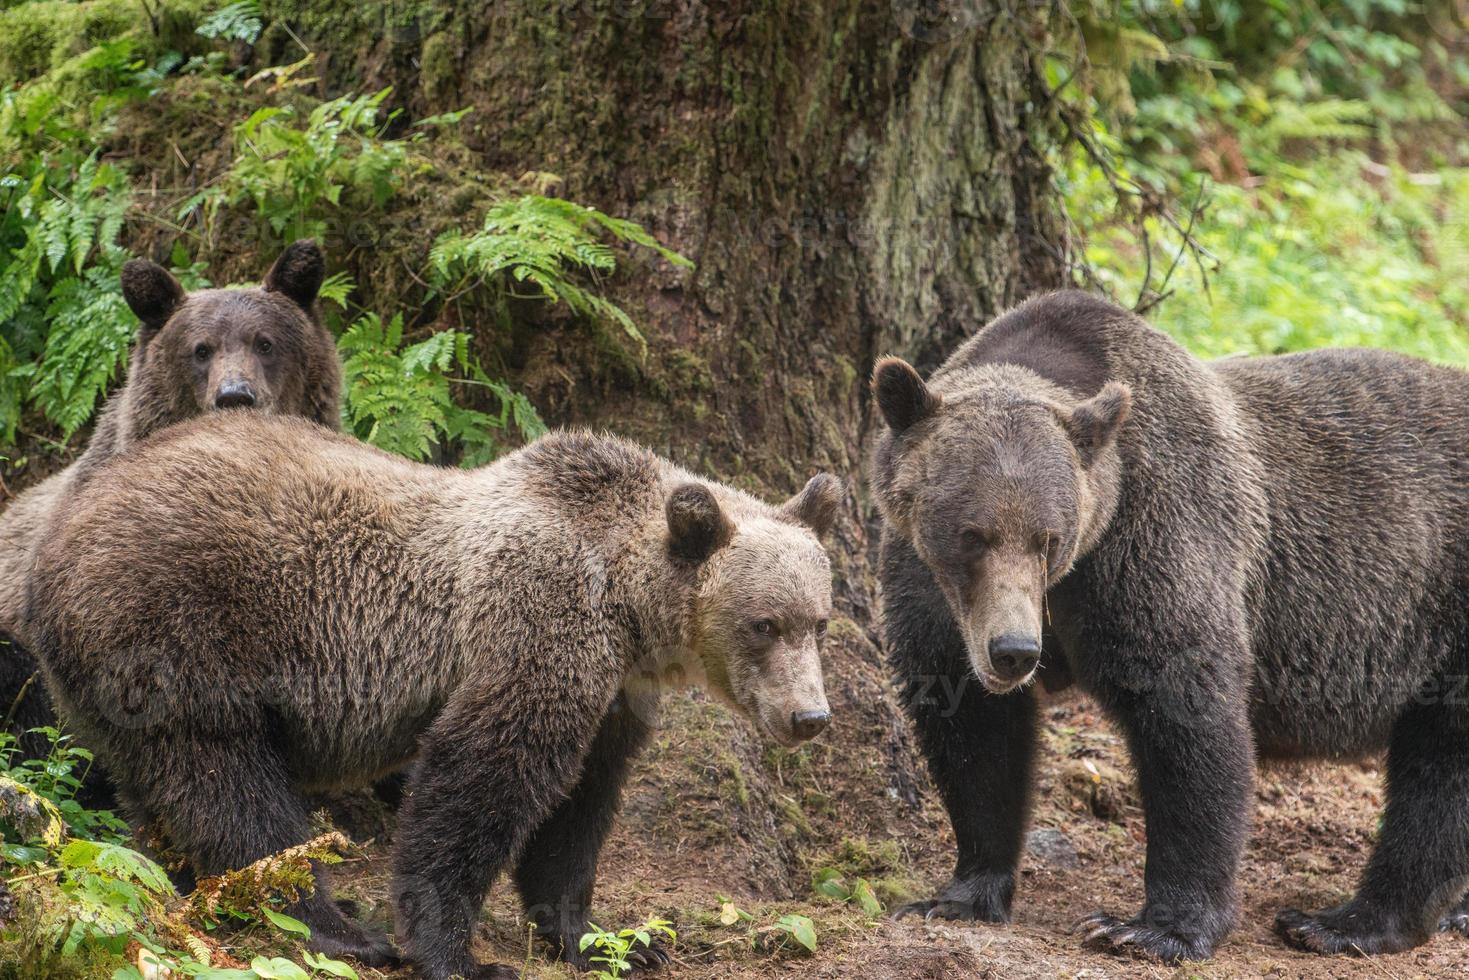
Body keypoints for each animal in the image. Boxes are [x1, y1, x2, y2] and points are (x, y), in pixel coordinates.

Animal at [25, 417, 840, 980]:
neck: (628, 606)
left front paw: (612, 939)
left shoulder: (614, 693)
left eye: (819, 620)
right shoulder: (536, 623)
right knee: (230, 788)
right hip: (180, 630)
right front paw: (459, 952)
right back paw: (336, 925)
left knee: (161, 792)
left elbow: (580, 809)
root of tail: (55, 542)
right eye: (763, 623)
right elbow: (481, 778)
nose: (809, 717)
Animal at [863, 290, 1469, 963]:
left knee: (1439, 770)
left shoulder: (1156, 537)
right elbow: (973, 730)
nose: (1014, 651)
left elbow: (1186, 717)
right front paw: (960, 894)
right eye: (973, 535)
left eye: (1049, 538)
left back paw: (1343, 921)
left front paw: (1151, 927)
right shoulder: (932, 588)